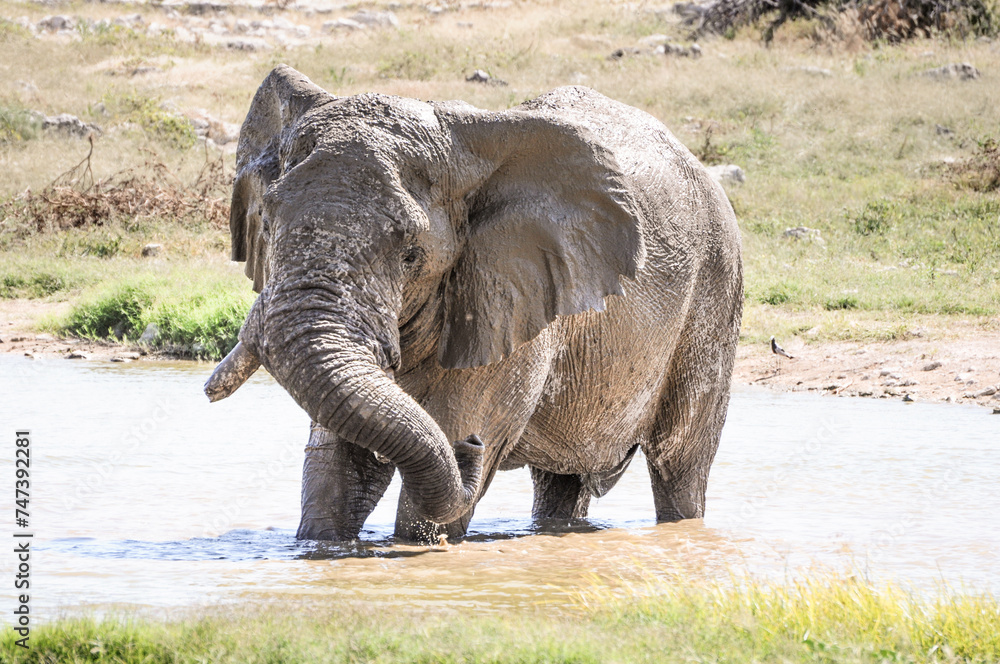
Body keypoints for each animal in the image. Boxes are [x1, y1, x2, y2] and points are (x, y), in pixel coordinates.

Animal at [205, 65, 743, 543]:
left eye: (411, 253)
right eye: (267, 224)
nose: (473, 448)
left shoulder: (511, 305)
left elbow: (421, 501)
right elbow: (336, 469)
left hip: (715, 291)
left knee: (679, 464)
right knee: (562, 482)